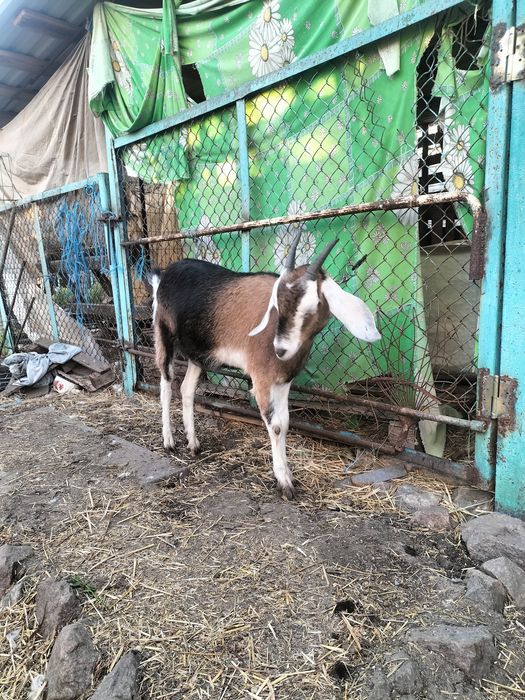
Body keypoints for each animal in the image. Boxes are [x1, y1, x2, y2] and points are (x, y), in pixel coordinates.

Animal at [152, 232, 381, 499]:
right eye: (278, 304)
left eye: (312, 305)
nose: (281, 350)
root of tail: (165, 273)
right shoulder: (261, 378)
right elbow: (277, 426)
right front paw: (284, 482)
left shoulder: (282, 381)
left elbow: (286, 422)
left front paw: (287, 474)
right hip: (163, 333)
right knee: (166, 385)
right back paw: (169, 441)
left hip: (197, 352)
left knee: (186, 389)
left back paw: (193, 444)